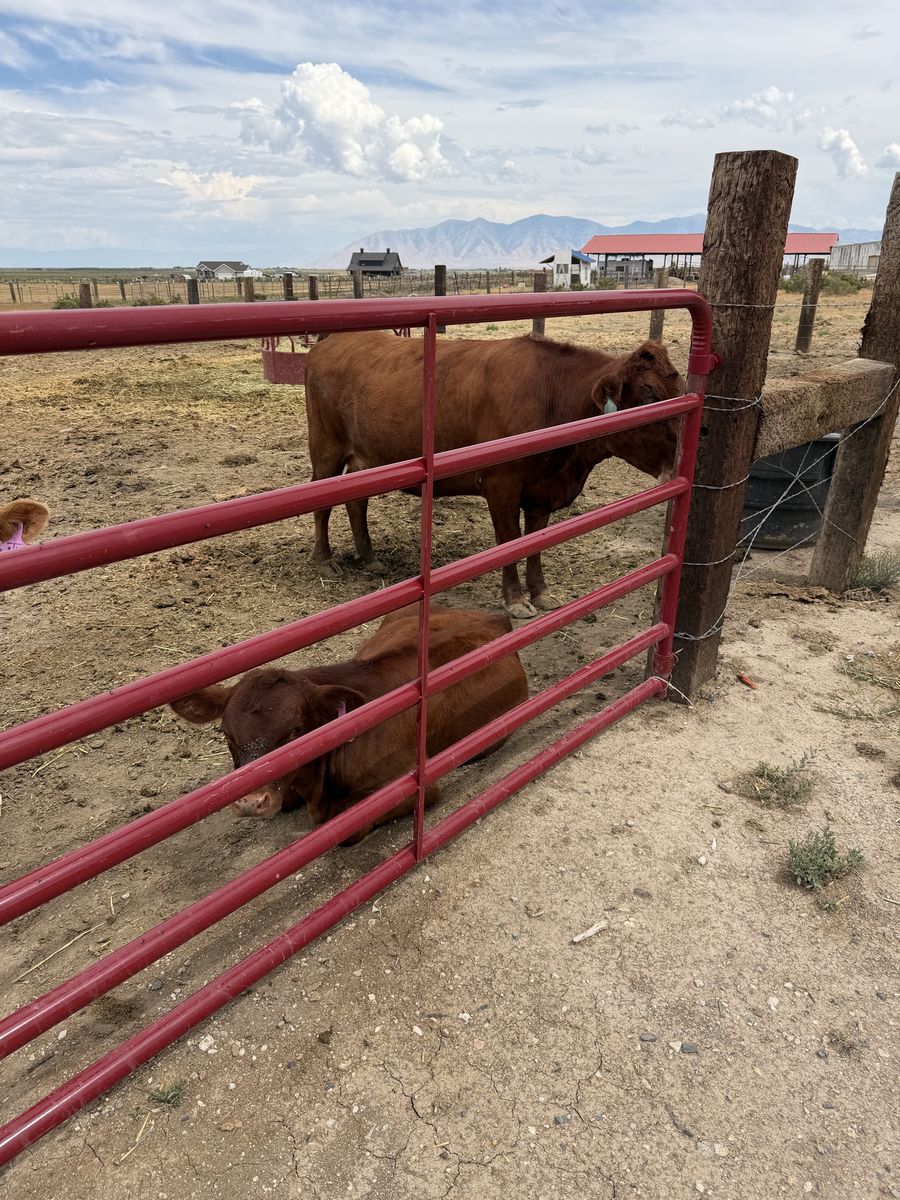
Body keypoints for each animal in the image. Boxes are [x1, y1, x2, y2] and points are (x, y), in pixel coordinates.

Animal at [170, 604, 528, 843]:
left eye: (295, 730)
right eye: (226, 734)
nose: (250, 803)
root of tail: (494, 618)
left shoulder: (412, 785)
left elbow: (345, 826)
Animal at [304, 333, 684, 618]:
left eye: (679, 391)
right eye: (648, 397)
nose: (682, 453)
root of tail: (330, 342)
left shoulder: (541, 492)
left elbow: (535, 542)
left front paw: (541, 593)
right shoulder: (502, 485)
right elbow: (508, 542)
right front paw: (516, 601)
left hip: (366, 460)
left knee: (357, 502)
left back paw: (369, 558)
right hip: (326, 448)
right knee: (321, 504)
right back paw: (323, 561)